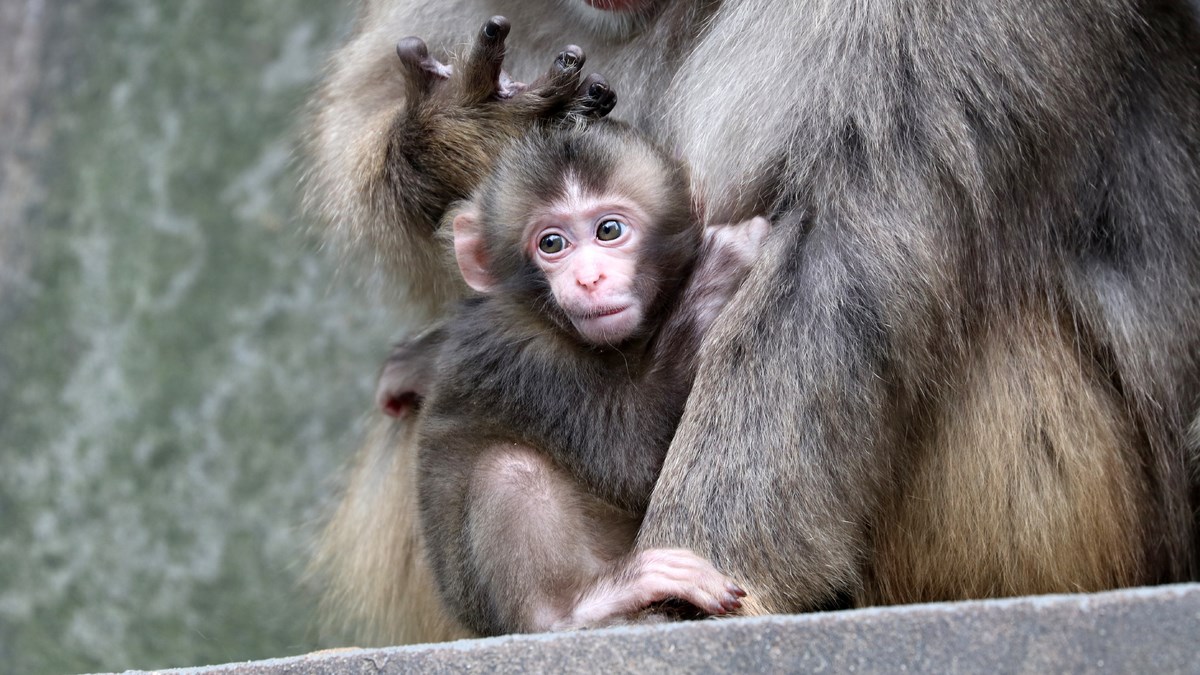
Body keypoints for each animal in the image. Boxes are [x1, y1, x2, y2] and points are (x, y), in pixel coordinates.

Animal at [384, 121, 768, 634]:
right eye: (551, 244)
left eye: (609, 230)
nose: (588, 278)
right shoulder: (522, 359)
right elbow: (633, 463)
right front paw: (723, 261)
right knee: (509, 470)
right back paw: (575, 607)